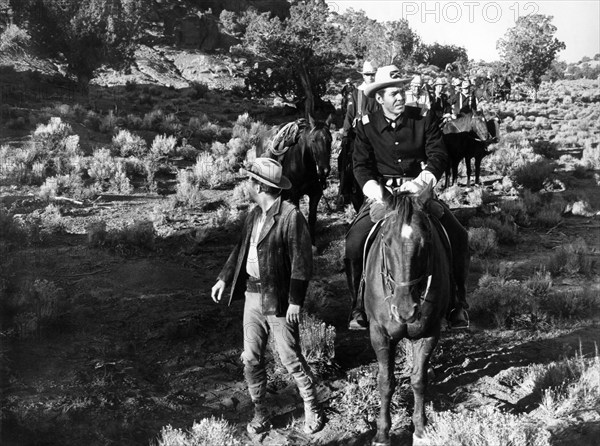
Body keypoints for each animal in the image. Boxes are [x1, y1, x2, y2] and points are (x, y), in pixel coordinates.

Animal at [258, 116, 332, 246]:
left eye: (330, 140)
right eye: (313, 140)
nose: (324, 170)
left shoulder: (315, 193)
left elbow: (312, 218)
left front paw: (313, 244)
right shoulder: (294, 195)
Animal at [360, 186, 468, 446]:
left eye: (426, 241)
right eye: (386, 241)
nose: (406, 311)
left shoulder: (429, 333)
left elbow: (418, 380)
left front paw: (420, 430)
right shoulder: (379, 334)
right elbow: (386, 382)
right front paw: (382, 434)